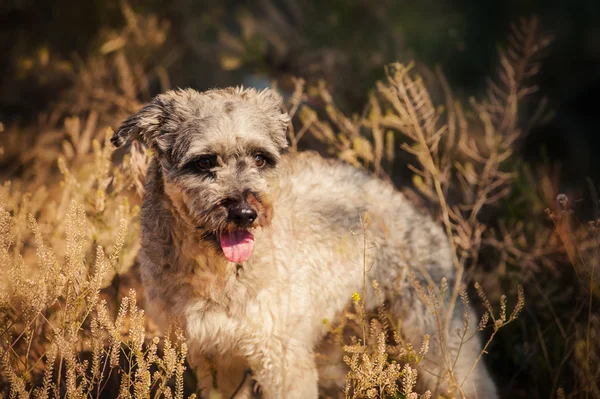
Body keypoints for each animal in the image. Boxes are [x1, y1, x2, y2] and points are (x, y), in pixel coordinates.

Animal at [111, 86, 496, 398]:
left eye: (260, 158)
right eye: (205, 162)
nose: (246, 213)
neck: (214, 274)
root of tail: (412, 210)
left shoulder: (281, 358)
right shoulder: (215, 356)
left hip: (439, 345)